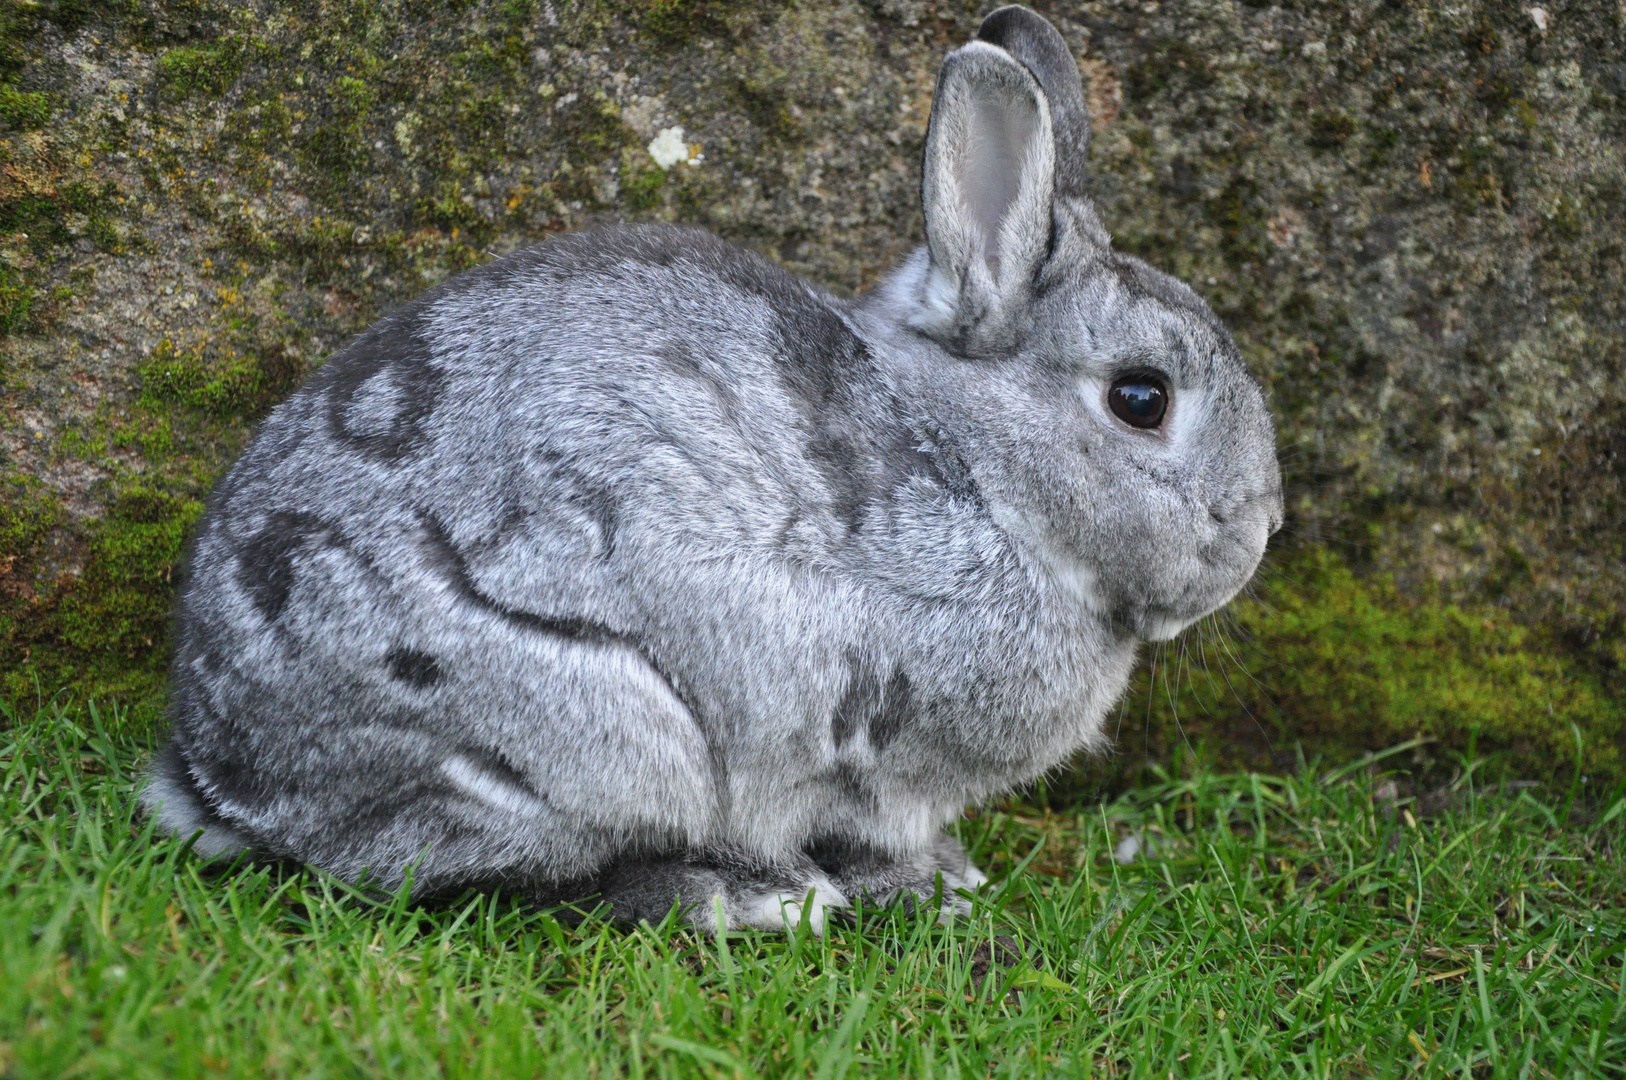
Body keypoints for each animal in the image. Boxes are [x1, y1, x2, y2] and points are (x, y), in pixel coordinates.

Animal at [139, 6, 1281, 936]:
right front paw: (926, 884)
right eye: (1141, 399)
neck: (973, 465)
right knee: (489, 880)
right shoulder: (867, 739)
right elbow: (866, 826)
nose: (1262, 530)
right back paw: (745, 897)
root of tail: (223, 774)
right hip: (600, 740)